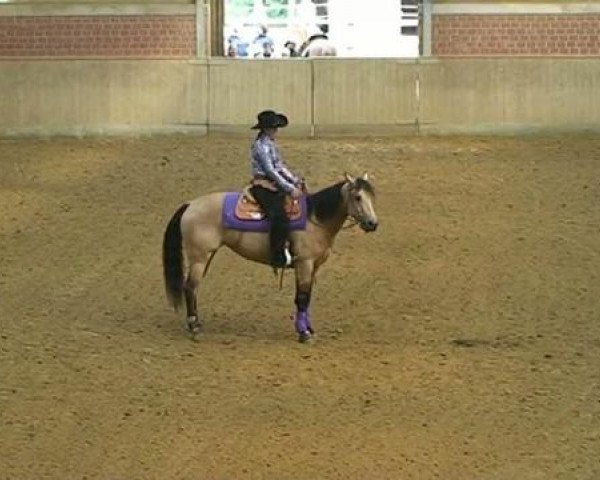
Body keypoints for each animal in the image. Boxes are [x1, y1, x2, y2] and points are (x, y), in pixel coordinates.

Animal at [162, 174, 378, 344]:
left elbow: (307, 297)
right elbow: (302, 297)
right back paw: (194, 327)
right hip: (199, 258)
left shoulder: (315, 265)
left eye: (372, 197)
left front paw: (308, 329)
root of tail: (190, 205)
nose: (372, 223)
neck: (314, 219)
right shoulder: (304, 263)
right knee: (190, 287)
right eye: (358, 197)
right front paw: (304, 334)